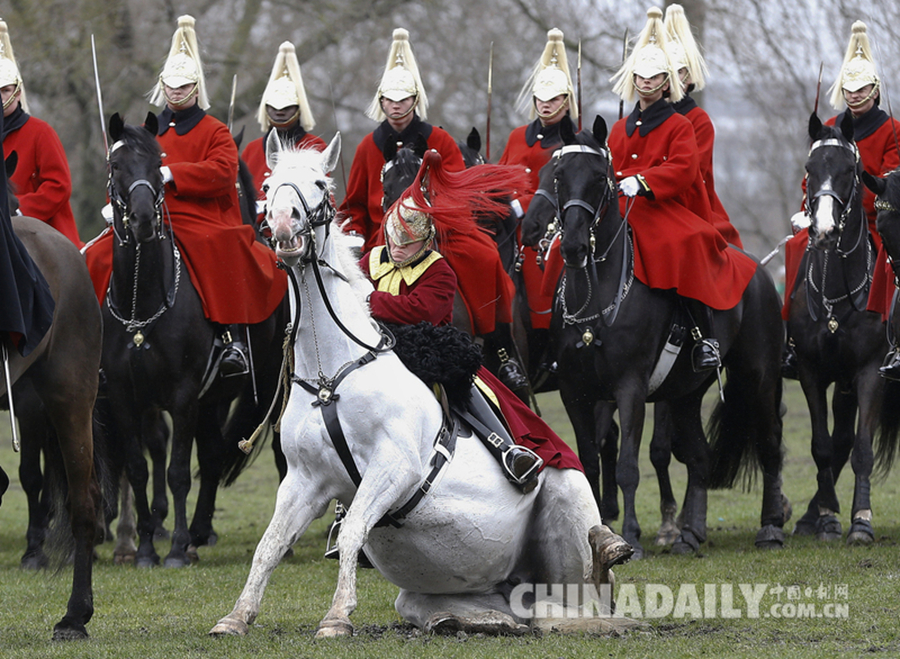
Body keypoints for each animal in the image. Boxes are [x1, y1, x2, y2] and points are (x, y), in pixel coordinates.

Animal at [100, 113, 286, 568]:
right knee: (213, 452)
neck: (141, 304)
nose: (143, 219)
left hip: (267, 386)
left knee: (269, 450)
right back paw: (200, 531)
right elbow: (139, 468)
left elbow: (178, 472)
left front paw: (175, 549)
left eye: (158, 165)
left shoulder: (183, 396)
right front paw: (146, 548)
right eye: (116, 165)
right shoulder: (127, 398)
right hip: (213, 397)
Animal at [208, 131, 636, 636]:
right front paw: (237, 616)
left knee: (581, 598)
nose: (282, 225)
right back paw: (478, 618)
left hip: (568, 500)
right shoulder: (304, 481)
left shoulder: (394, 467)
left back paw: (606, 554)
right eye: (270, 185)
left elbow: (352, 529)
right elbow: (269, 546)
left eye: (319, 184)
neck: (331, 376)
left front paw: (337, 616)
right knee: (500, 608)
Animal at [528, 116, 788, 560]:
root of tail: (759, 269)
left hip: (759, 377)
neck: (598, 292)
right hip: (685, 395)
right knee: (699, 458)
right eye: (558, 175)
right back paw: (690, 534)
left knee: (770, 444)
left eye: (599, 178)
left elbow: (627, 468)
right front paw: (598, 529)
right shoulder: (575, 392)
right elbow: (589, 462)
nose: (575, 246)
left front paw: (630, 536)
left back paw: (769, 527)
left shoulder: (629, 387)